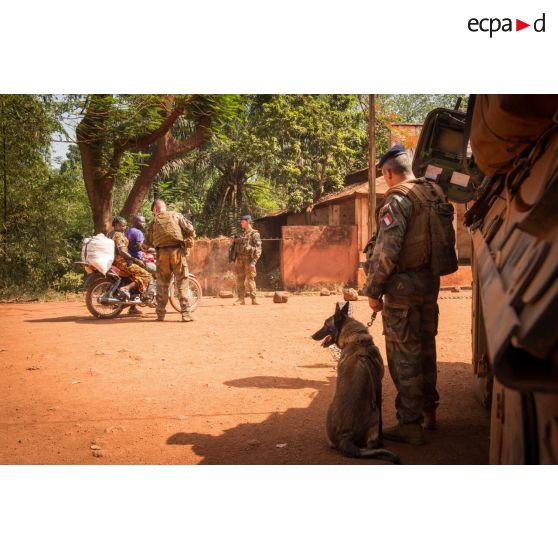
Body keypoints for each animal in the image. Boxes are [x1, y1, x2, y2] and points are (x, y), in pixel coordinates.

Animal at [312, 304, 400, 466]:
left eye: (326, 325)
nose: (312, 336)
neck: (357, 340)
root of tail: (345, 438)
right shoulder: (378, 386)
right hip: (373, 412)